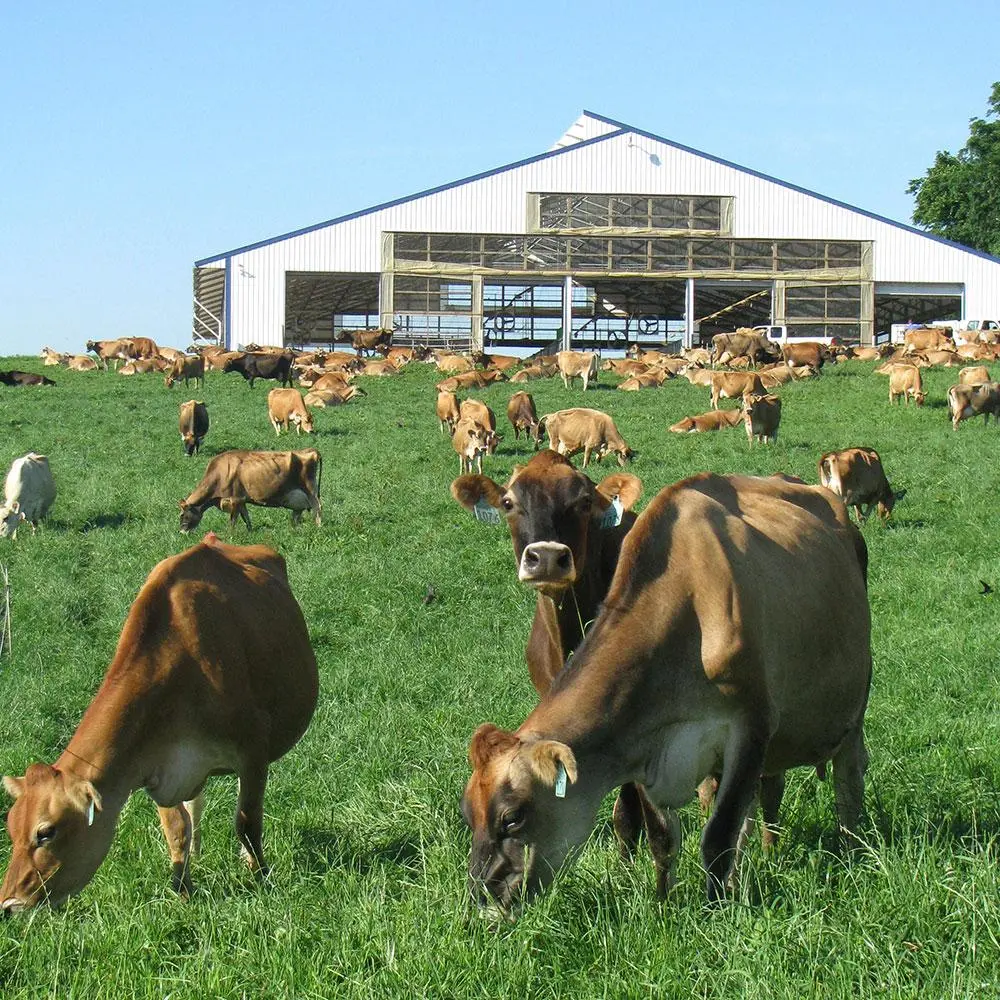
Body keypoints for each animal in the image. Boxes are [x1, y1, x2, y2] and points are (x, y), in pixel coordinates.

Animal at [0, 535, 318, 910]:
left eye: (46, 832)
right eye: (10, 827)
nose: (9, 903)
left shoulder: (253, 749)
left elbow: (247, 820)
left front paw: (261, 877)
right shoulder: (154, 765)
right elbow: (177, 829)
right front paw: (182, 890)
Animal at [179, 449, 322, 531]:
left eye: (183, 515)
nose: (182, 531)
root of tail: (312, 451)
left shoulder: (235, 499)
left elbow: (233, 520)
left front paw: (230, 535)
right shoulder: (242, 500)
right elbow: (246, 517)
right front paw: (250, 531)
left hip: (310, 490)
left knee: (318, 507)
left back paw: (318, 527)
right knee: (299, 512)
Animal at [460, 472, 871, 913]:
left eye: (513, 816)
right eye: (468, 814)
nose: (482, 897)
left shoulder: (752, 726)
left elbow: (719, 837)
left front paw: (714, 910)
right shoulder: (643, 741)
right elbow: (662, 836)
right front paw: (663, 902)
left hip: (852, 706)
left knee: (847, 784)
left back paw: (851, 855)